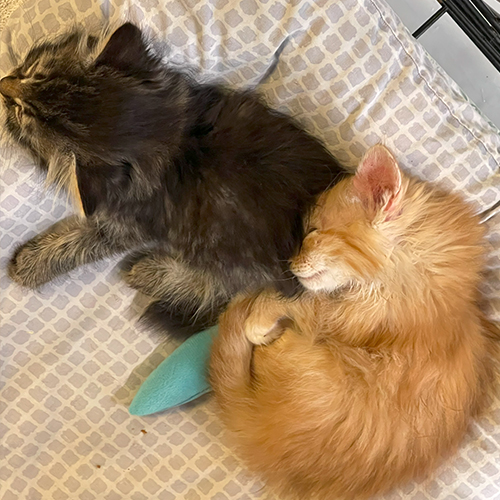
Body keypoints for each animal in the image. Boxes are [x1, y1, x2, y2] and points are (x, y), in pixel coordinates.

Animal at [0, 22, 344, 336]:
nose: (3, 84)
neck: (176, 143)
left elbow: (78, 241)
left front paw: (29, 265)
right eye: (32, 71)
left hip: (223, 255)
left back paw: (146, 272)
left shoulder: (127, 225)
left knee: (213, 288)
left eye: (22, 113)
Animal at [209, 145, 498, 500]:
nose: (290, 263)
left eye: (312, 234)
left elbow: (308, 300)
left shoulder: (357, 313)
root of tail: (257, 429)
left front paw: (260, 318)